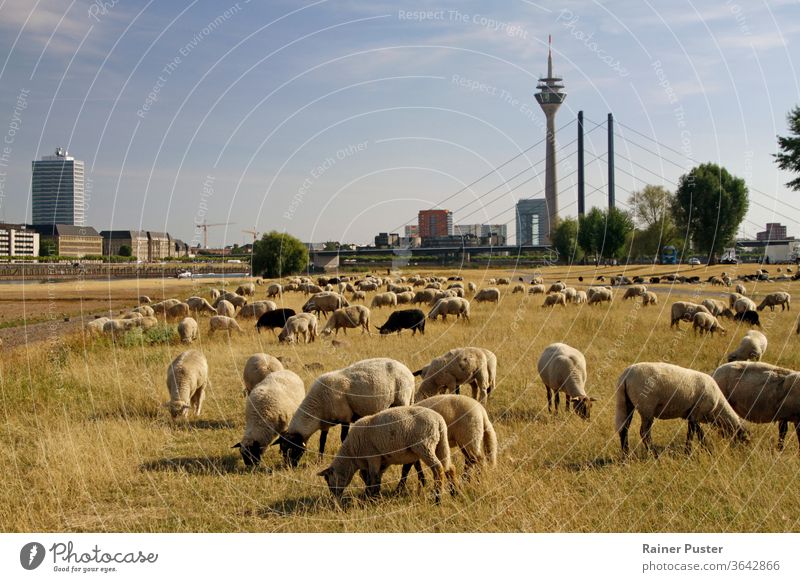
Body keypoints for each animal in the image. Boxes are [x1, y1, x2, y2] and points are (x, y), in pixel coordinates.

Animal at [282, 356, 416, 470]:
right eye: (283, 450)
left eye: (291, 449)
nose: (288, 468)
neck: (318, 406)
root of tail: (410, 374)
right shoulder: (325, 424)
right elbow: (322, 440)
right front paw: (320, 460)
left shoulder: (345, 417)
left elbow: (343, 438)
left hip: (402, 399)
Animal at [318, 408, 456, 504]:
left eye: (328, 480)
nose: (335, 499)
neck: (351, 454)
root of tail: (439, 421)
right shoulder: (382, 461)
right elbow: (371, 477)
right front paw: (372, 495)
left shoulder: (373, 456)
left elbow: (373, 477)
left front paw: (372, 499)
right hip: (440, 444)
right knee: (450, 468)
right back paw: (455, 493)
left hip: (425, 446)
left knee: (438, 469)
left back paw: (438, 500)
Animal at [612, 364, 752, 456]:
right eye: (744, 439)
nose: (743, 453)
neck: (717, 409)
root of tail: (626, 375)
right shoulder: (697, 413)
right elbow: (695, 434)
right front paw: (696, 451)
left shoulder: (692, 415)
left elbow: (695, 433)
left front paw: (697, 450)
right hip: (647, 408)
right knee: (644, 433)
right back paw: (654, 454)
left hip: (625, 403)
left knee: (624, 429)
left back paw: (626, 455)